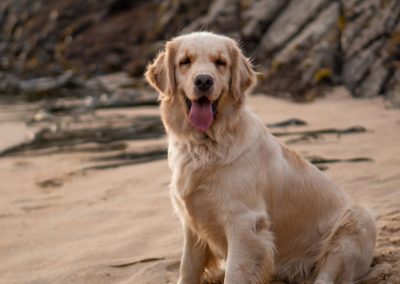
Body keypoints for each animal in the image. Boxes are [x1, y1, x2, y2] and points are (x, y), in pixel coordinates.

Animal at [145, 32, 376, 282]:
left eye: (220, 62)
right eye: (185, 61)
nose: (204, 81)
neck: (206, 143)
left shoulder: (244, 223)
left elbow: (235, 273)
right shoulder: (191, 220)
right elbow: (187, 268)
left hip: (355, 224)